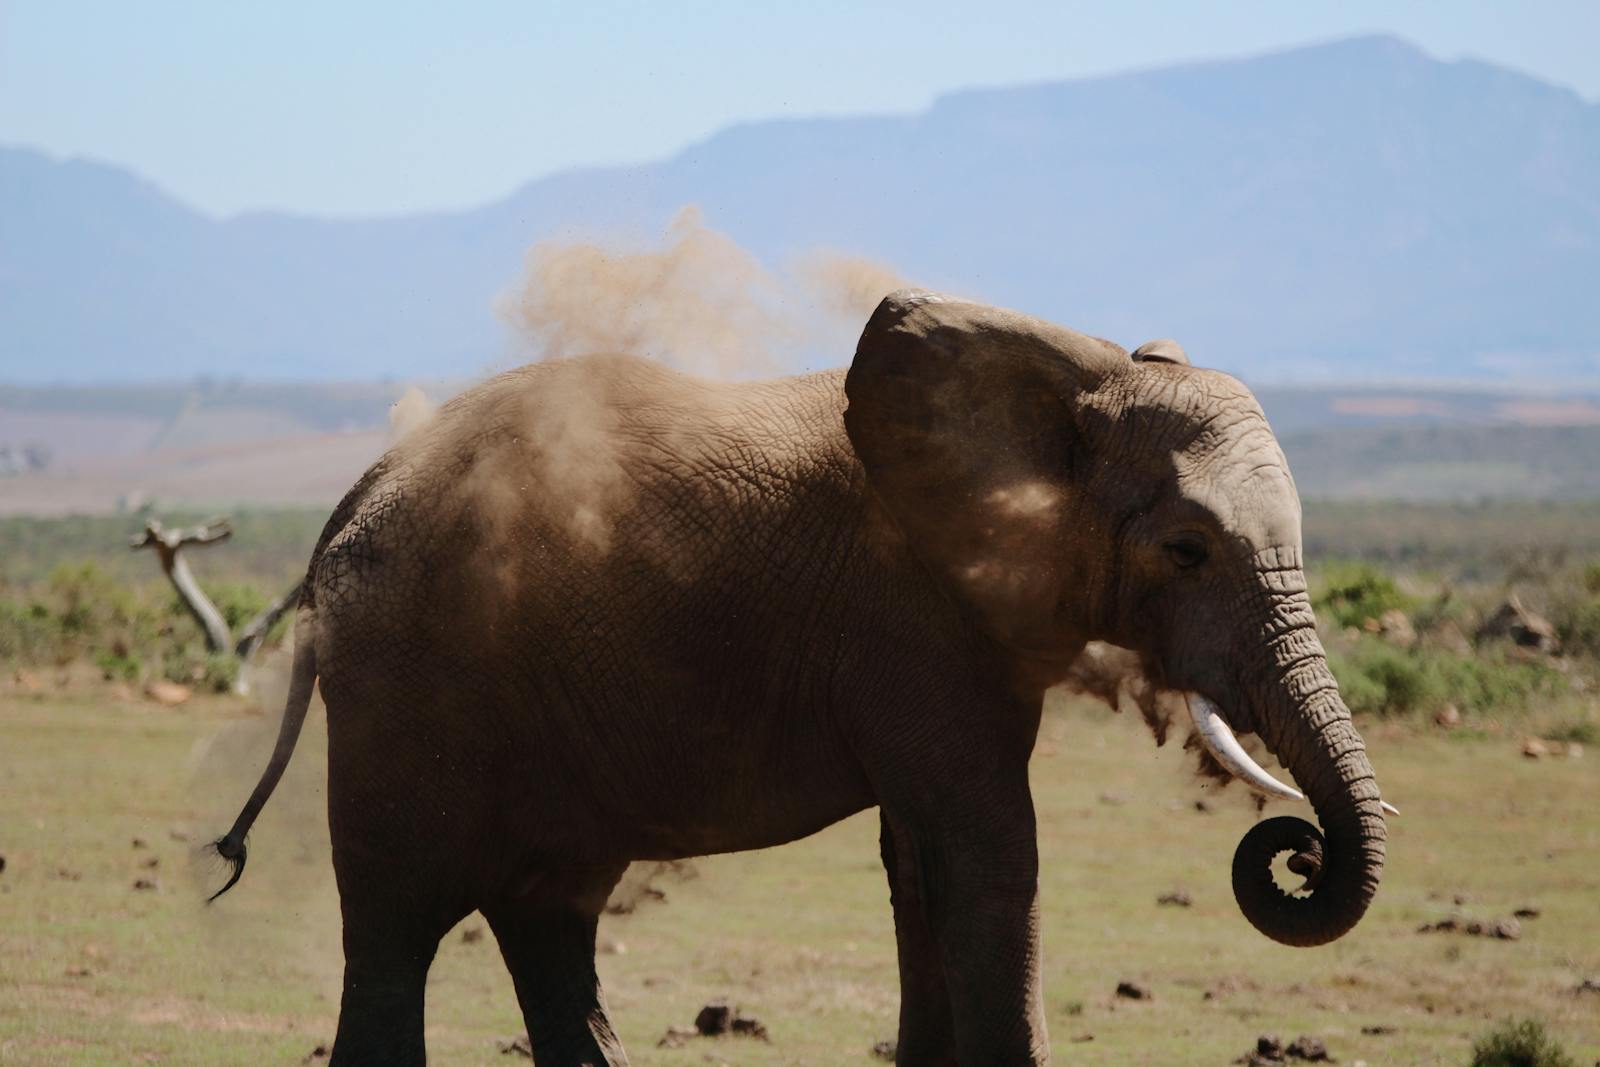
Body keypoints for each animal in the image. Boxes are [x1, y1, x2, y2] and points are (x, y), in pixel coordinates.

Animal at [212, 291, 1391, 1066]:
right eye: (1187, 550)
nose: (1295, 849)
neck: (1082, 366)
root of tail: (352, 499)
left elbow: (922, 866)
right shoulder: (914, 621)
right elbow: (988, 852)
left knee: (549, 907)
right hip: (407, 679)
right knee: (400, 916)